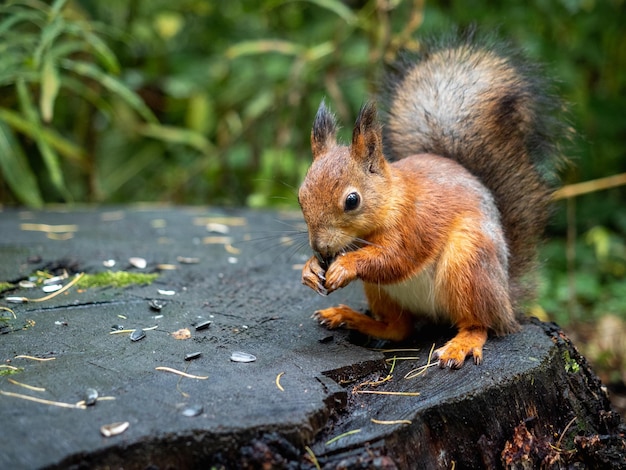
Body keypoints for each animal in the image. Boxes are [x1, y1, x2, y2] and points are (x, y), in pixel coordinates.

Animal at [296, 31, 564, 370]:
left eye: (352, 200)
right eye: (300, 197)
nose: (320, 249)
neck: (390, 201)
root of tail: (505, 295)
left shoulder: (415, 223)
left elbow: (395, 258)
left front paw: (345, 265)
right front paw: (309, 269)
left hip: (468, 264)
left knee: (480, 324)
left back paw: (461, 344)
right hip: (383, 293)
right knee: (399, 329)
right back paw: (349, 317)